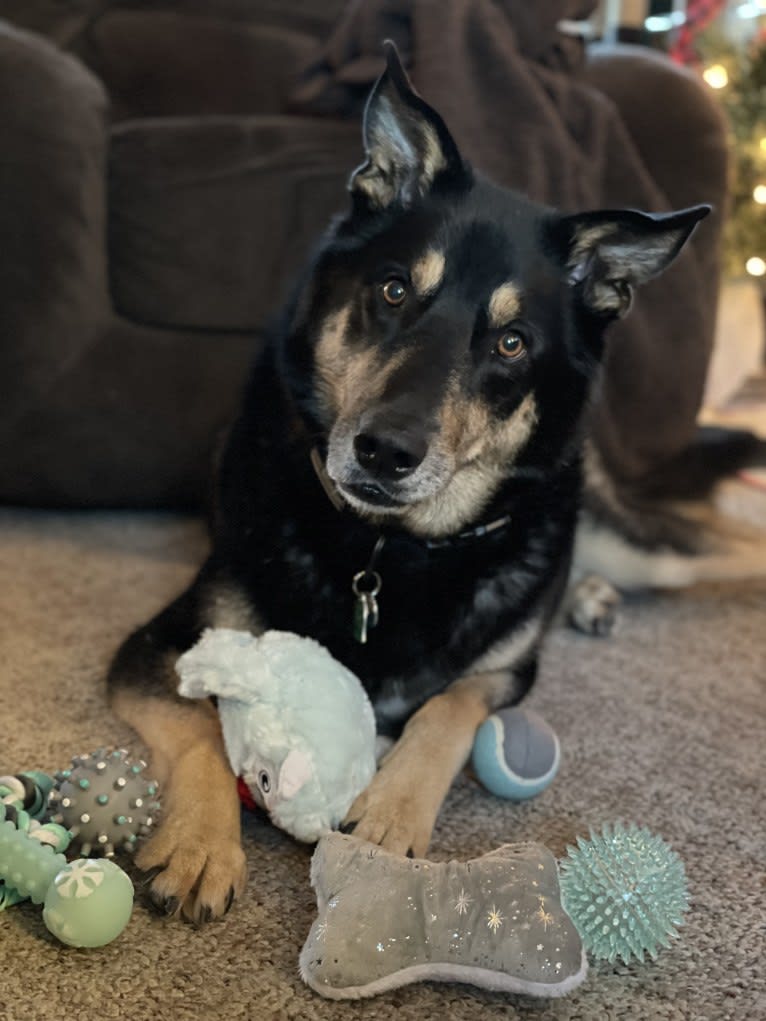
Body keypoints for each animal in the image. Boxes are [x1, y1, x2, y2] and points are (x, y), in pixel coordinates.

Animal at [108, 43, 766, 922]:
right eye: (392, 291)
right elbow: (199, 729)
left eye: (513, 343)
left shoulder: (508, 672)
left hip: (645, 545)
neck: (391, 551)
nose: (385, 451)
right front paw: (201, 845)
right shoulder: (157, 647)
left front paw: (390, 810)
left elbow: (451, 706)